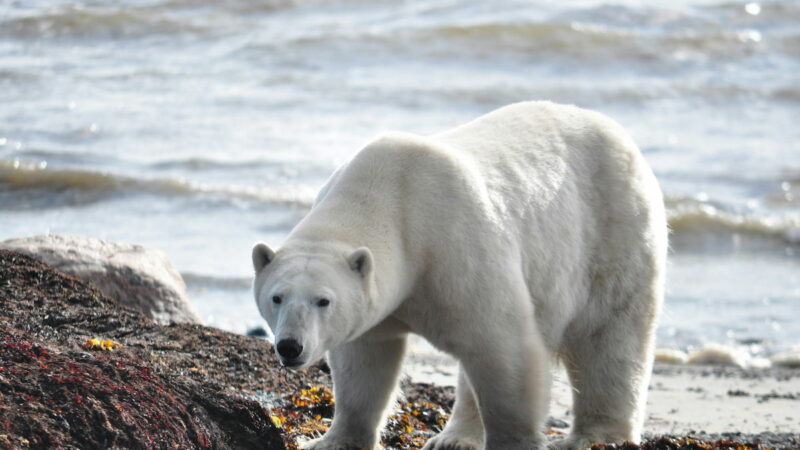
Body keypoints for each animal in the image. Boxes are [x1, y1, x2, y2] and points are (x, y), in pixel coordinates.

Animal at [253, 102, 664, 450]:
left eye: (323, 300)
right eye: (277, 297)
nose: (290, 346)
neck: (392, 198)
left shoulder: (455, 249)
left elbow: (503, 346)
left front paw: (513, 442)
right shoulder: (381, 302)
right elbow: (366, 362)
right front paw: (332, 441)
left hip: (613, 230)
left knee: (608, 337)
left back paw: (598, 435)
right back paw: (454, 438)